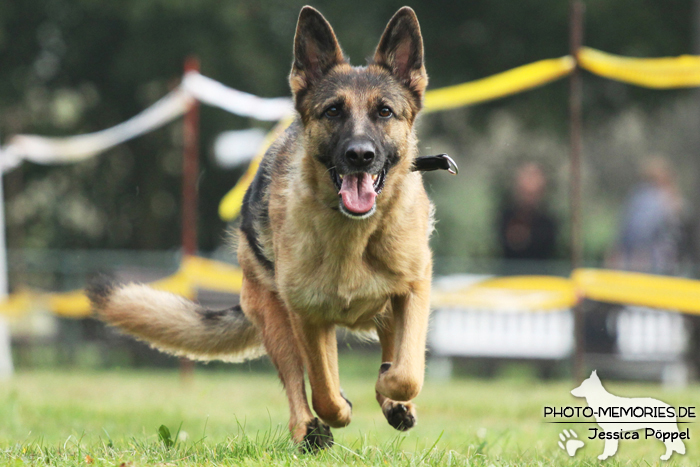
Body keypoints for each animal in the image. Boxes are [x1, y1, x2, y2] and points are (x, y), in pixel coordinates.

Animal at [89, 5, 442, 454]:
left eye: (385, 112)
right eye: (333, 111)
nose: (360, 156)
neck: (354, 236)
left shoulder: (413, 289)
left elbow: (406, 372)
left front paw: (390, 389)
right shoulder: (307, 315)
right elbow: (325, 393)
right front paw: (341, 408)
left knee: (391, 353)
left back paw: (389, 400)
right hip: (277, 320)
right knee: (298, 383)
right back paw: (308, 431)